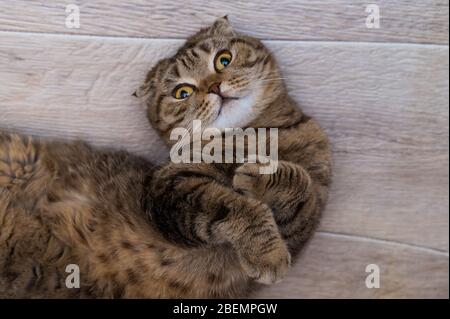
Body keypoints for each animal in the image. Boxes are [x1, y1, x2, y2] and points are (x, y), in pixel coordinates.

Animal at [0, 16, 330, 298]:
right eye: (182, 92)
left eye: (223, 59)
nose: (214, 87)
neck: (252, 132)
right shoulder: (169, 186)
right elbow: (235, 208)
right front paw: (267, 253)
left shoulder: (307, 217)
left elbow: (303, 191)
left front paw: (260, 170)